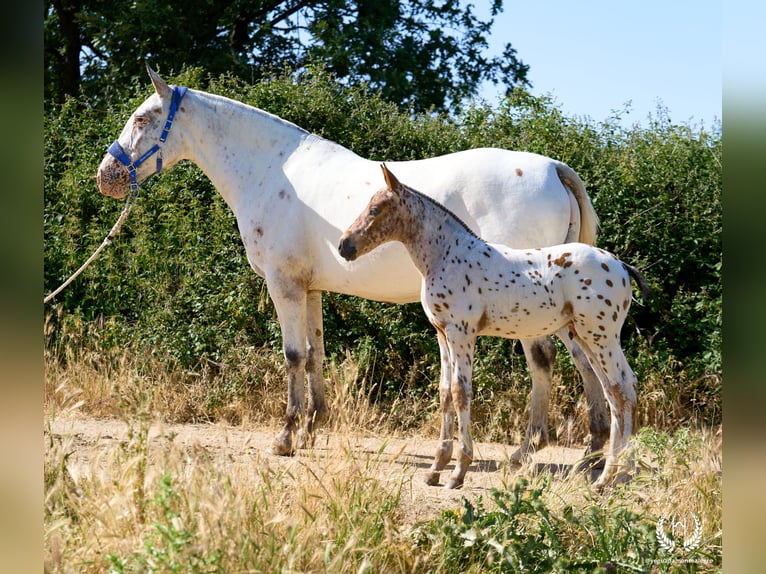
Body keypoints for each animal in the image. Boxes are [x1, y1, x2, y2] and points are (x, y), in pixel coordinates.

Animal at [97, 64, 610, 461]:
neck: (270, 172)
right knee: (585, 360)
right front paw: (311, 429)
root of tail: (553, 169)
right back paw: (593, 448)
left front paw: (286, 437)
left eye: (143, 117)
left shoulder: (284, 285)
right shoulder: (311, 288)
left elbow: (292, 355)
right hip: (562, 306)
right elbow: (315, 355)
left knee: (544, 362)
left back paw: (528, 451)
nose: (107, 175)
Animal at [339, 164, 649, 490]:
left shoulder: (462, 332)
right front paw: (435, 468)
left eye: (375, 209)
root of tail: (621, 266)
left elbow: (461, 391)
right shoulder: (442, 333)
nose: (344, 246)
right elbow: (445, 391)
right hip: (590, 338)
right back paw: (620, 473)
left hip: (600, 337)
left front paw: (459, 471)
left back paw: (607, 477)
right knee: (620, 388)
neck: (446, 255)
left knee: (619, 390)